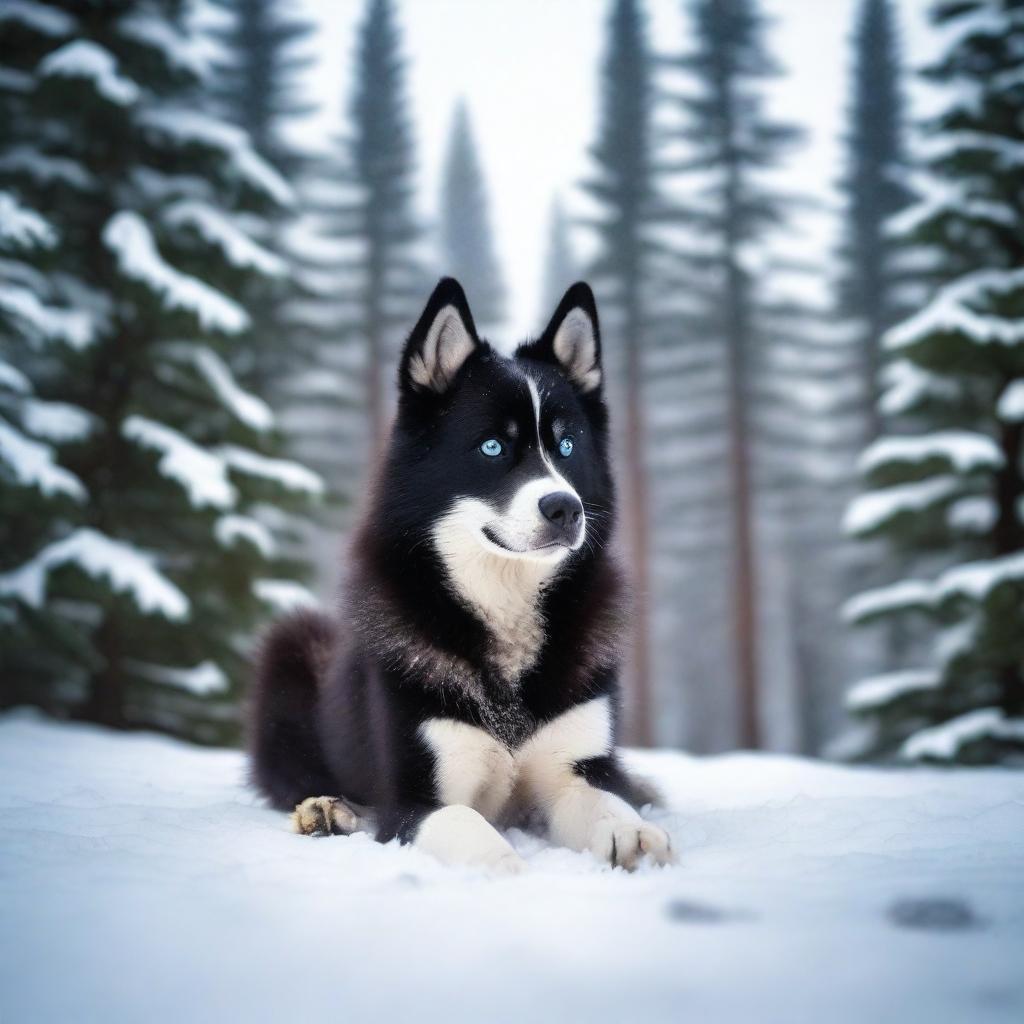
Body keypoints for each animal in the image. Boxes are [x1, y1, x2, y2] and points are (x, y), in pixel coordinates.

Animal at [247, 278, 671, 872]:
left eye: (566, 446)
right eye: (493, 446)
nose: (565, 508)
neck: (505, 606)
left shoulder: (575, 769)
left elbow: (604, 799)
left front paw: (631, 831)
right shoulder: (414, 798)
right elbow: (468, 828)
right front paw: (504, 867)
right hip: (292, 649)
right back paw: (326, 810)